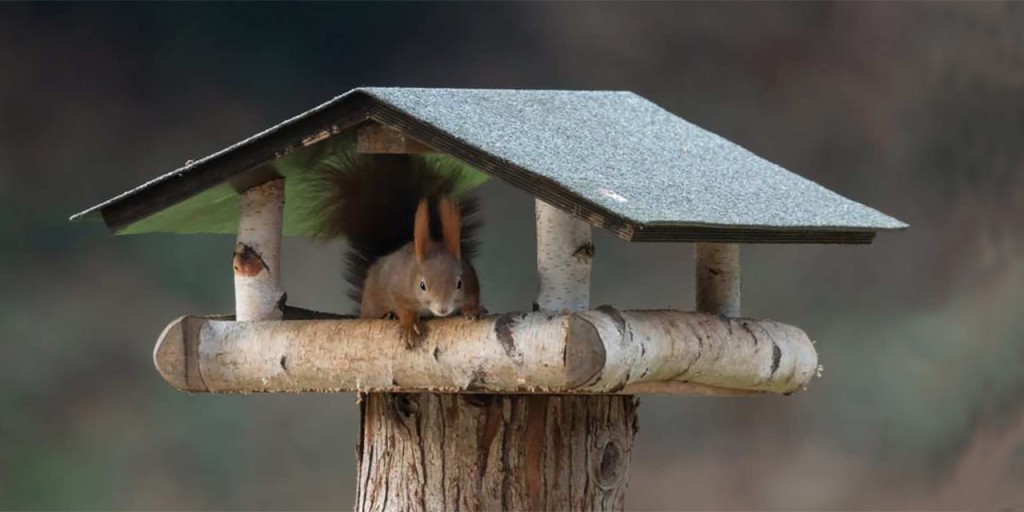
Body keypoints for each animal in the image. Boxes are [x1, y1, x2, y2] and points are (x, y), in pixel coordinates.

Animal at [310, 152, 485, 347]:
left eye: (459, 283)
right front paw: (409, 324)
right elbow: (403, 306)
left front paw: (473, 310)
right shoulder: (397, 286)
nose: (443, 309)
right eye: (422, 285)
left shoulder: (470, 277)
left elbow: (472, 296)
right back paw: (388, 315)